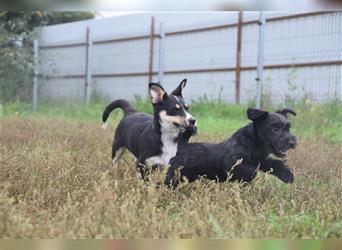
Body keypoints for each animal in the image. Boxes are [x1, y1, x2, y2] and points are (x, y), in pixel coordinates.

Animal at [165, 107, 296, 188]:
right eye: (275, 129)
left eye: (288, 128)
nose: (292, 142)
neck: (252, 142)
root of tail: (182, 146)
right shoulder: (233, 163)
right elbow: (250, 169)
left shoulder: (261, 159)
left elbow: (273, 164)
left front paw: (287, 175)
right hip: (175, 175)